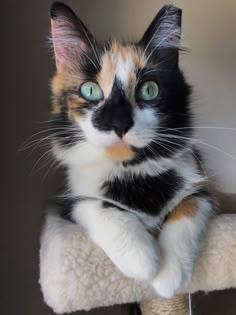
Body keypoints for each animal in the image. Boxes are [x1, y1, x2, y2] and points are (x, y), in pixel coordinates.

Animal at [48, 1, 215, 298]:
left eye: (149, 90)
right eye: (90, 90)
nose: (119, 123)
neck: (134, 170)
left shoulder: (201, 188)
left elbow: (189, 208)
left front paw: (169, 275)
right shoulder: (71, 202)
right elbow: (99, 206)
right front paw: (145, 261)